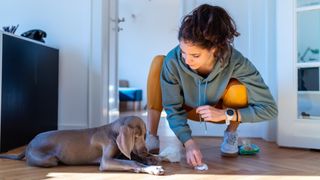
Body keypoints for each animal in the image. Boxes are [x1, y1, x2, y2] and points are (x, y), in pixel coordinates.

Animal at [0, 116, 165, 175]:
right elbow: (131, 161)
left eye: (144, 136)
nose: (146, 150)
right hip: (49, 160)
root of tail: (29, 144)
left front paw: (152, 158)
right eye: (136, 136)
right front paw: (152, 168)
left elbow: (132, 157)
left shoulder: (122, 152)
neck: (112, 132)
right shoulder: (106, 161)